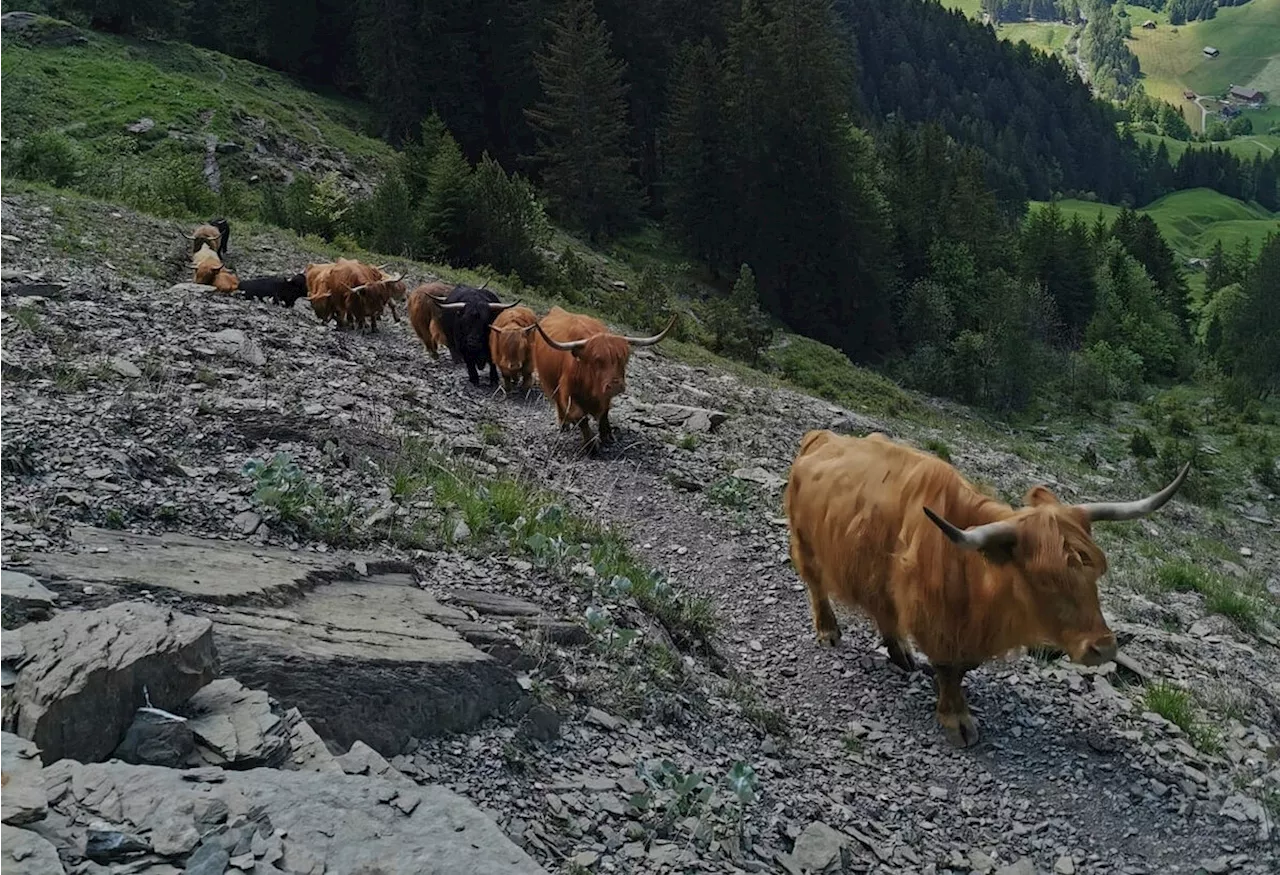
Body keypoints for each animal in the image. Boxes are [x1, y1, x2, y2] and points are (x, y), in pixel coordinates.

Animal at [527, 304, 675, 447]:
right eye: (596, 360)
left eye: (623, 359)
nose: (615, 385)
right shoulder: (567, 393)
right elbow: (580, 416)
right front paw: (591, 445)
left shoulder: (604, 395)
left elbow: (604, 412)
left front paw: (607, 435)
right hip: (550, 383)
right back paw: (564, 425)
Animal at [783, 429, 1192, 747]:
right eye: (1044, 579)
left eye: (1094, 574)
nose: (1103, 647)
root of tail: (821, 438)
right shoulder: (935, 619)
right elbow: (949, 671)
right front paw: (956, 720)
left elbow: (962, 668)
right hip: (806, 544)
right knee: (817, 586)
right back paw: (829, 631)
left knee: (882, 608)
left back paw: (900, 653)